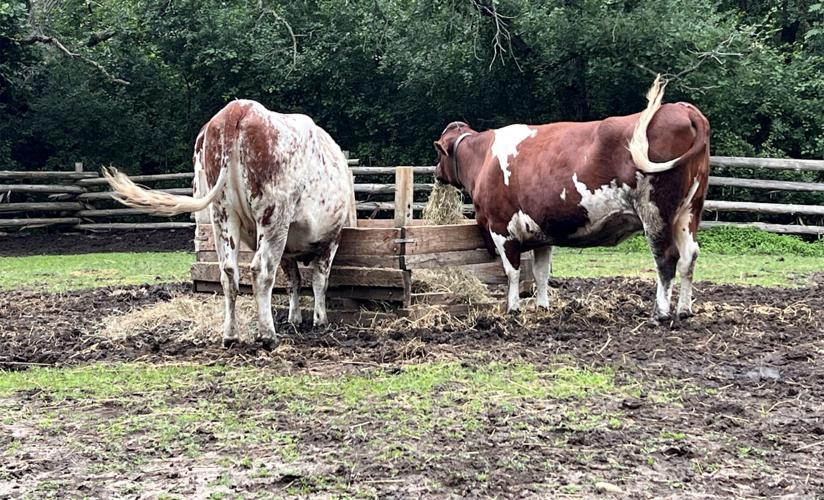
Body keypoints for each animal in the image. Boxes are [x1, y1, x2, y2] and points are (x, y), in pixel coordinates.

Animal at [104, 100, 357, 347]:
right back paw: (267, 336)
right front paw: (320, 320)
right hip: (273, 216)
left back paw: (231, 335)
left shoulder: (289, 249)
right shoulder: (330, 239)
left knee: (228, 273)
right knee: (261, 271)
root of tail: (238, 108)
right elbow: (318, 281)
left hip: (222, 214)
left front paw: (295, 318)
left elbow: (294, 281)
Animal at [432, 76, 710, 322]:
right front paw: (542, 307)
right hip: (690, 210)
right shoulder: (540, 232)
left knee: (666, 257)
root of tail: (682, 109)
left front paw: (513, 309)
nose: (436, 173)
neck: (485, 159)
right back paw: (684, 310)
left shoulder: (501, 227)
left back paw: (660, 313)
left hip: (655, 211)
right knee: (689, 256)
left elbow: (512, 272)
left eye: (439, 155)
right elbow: (541, 273)